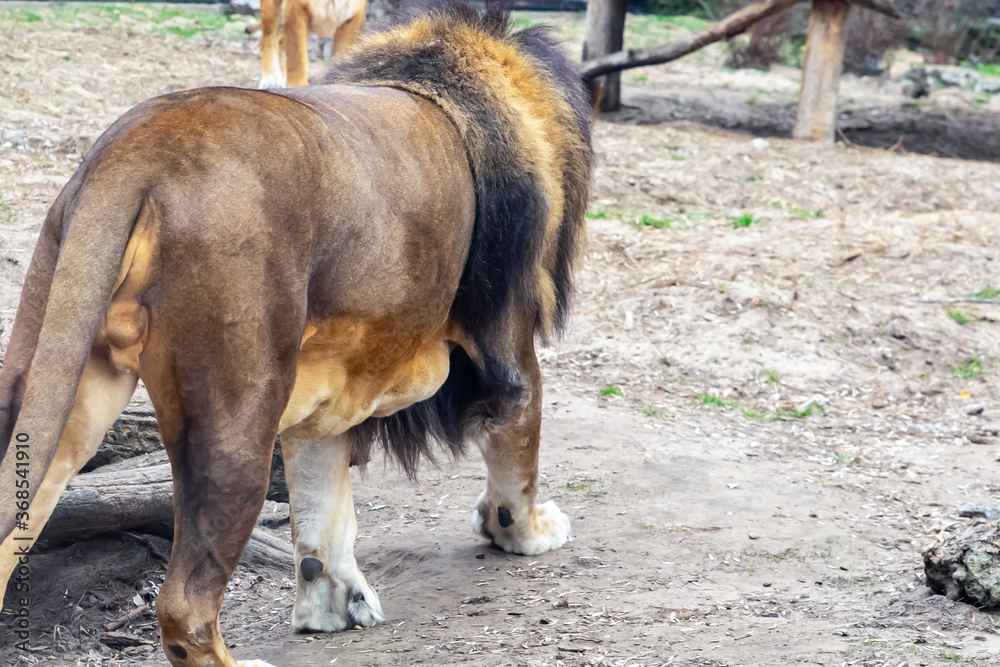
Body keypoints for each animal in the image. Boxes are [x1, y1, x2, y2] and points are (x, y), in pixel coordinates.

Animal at [0, 2, 592, 665]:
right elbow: (518, 442)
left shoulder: (326, 396)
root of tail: (136, 148)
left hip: (61, 375)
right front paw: (526, 531)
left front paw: (333, 606)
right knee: (183, 604)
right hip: (236, 421)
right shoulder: (506, 340)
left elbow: (320, 501)